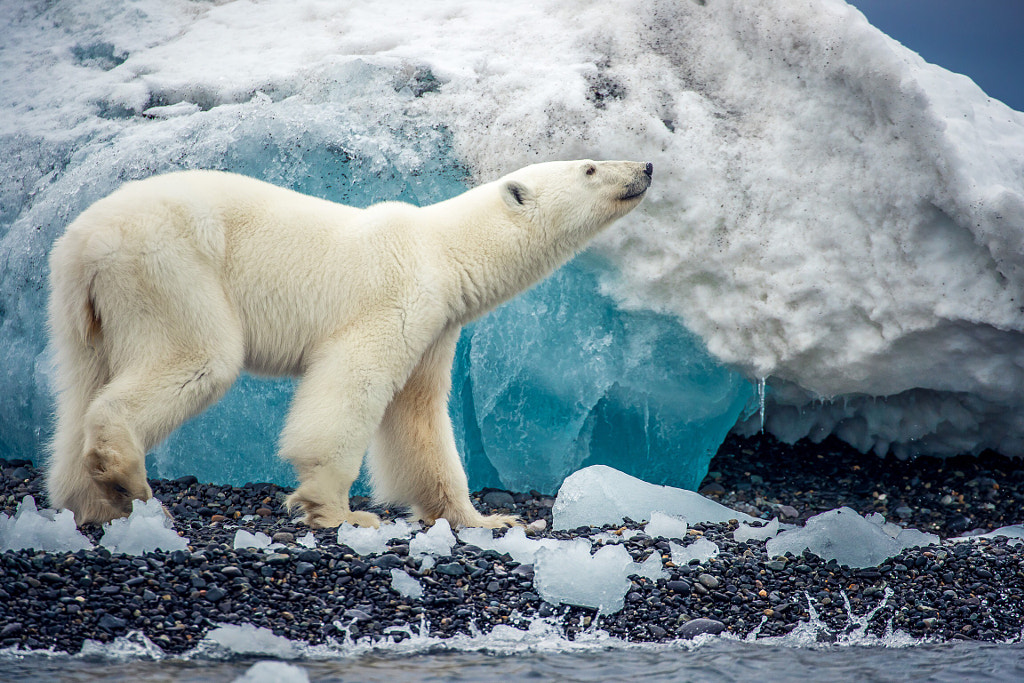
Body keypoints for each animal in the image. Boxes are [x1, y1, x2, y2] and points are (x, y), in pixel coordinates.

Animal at [44, 158, 651, 528]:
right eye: (589, 166)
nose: (645, 166)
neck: (442, 248)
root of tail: (87, 240)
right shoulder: (395, 299)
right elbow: (351, 388)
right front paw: (341, 512)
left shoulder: (437, 326)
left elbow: (418, 418)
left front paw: (484, 518)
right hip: (169, 266)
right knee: (200, 358)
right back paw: (127, 478)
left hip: (86, 310)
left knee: (81, 386)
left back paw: (94, 501)